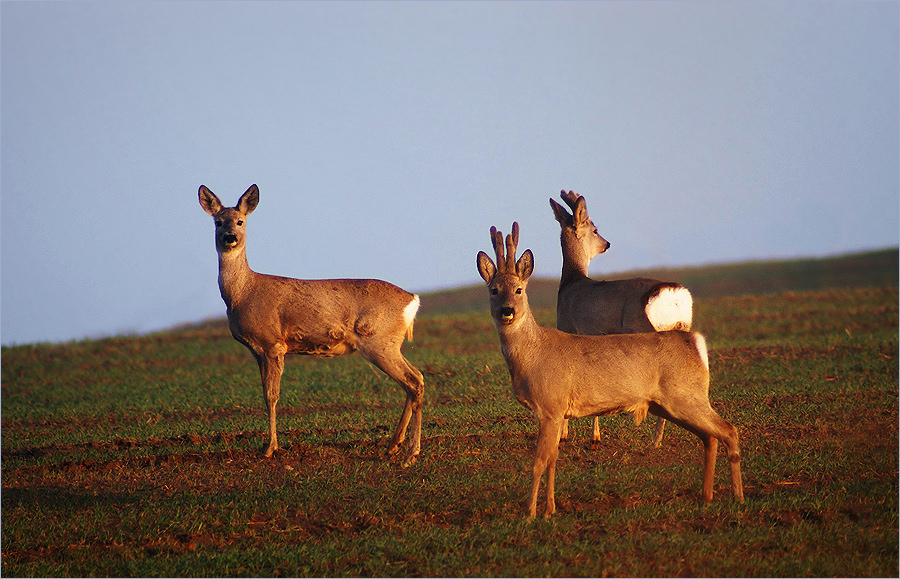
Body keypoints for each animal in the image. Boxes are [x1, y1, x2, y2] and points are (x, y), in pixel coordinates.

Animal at [199, 186, 424, 466]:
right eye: (218, 222)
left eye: (240, 221)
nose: (229, 237)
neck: (242, 293)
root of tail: (412, 299)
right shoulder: (256, 351)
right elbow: (264, 394)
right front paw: (267, 445)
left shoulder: (273, 344)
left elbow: (272, 395)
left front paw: (270, 448)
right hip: (389, 343)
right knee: (416, 379)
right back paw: (394, 445)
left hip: (379, 341)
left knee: (413, 381)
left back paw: (410, 454)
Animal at [474, 222, 740, 520]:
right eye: (494, 290)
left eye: (519, 289)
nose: (507, 311)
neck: (533, 355)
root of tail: (696, 343)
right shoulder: (554, 412)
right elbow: (553, 460)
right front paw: (550, 509)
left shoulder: (551, 407)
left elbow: (540, 462)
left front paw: (531, 512)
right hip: (670, 404)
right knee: (710, 437)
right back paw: (706, 496)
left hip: (687, 396)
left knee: (729, 430)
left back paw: (738, 497)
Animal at [552, 190, 692, 448]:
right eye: (595, 229)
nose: (607, 243)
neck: (570, 283)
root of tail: (673, 294)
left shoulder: (571, 329)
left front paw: (579, 436)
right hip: (681, 328)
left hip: (642, 330)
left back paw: (656, 439)